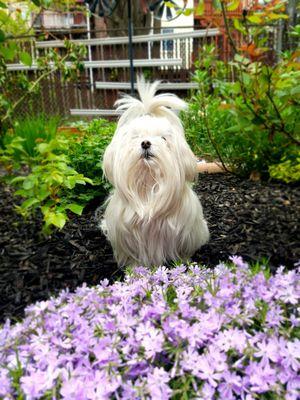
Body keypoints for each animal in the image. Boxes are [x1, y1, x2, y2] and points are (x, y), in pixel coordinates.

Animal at [101, 77, 209, 268]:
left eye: (163, 138)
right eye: (135, 137)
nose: (145, 143)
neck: (148, 180)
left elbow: (183, 252)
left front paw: (183, 263)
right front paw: (134, 269)